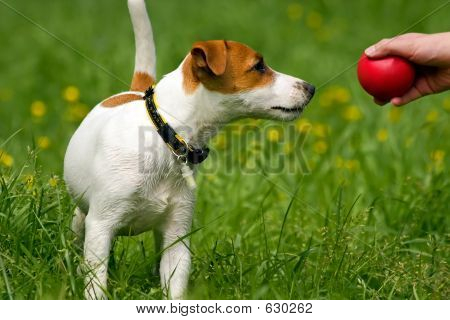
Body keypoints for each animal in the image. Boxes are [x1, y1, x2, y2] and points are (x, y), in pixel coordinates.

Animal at [64, 0, 316, 300]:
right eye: (259, 67)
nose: (311, 87)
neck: (165, 135)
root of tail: (134, 91)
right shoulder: (101, 227)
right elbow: (97, 281)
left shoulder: (177, 235)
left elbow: (174, 285)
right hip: (82, 220)